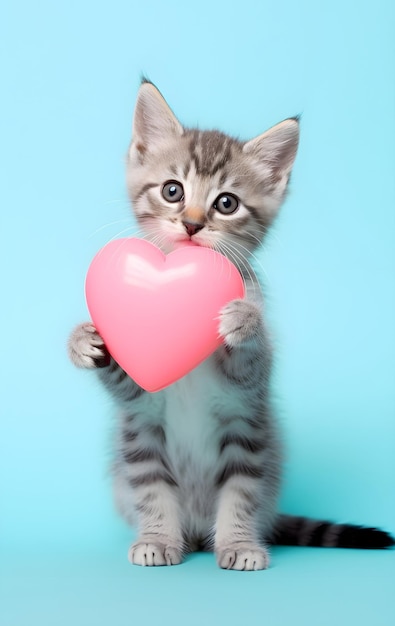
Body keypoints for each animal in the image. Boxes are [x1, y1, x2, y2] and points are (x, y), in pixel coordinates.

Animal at [69, 80, 395, 568]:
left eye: (227, 203)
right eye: (172, 190)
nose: (191, 224)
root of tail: (197, 527)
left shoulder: (246, 392)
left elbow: (250, 362)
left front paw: (243, 320)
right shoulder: (142, 404)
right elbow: (128, 381)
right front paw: (85, 341)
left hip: (249, 443)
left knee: (242, 493)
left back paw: (238, 543)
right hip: (142, 448)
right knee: (153, 490)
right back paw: (162, 538)